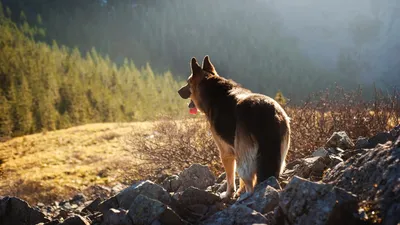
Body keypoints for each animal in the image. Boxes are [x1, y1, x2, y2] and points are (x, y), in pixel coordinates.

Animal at [178, 55, 290, 199]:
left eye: (188, 82)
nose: (178, 91)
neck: (214, 90)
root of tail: (267, 112)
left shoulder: (226, 152)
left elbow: (230, 178)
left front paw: (228, 194)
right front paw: (239, 191)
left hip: (244, 159)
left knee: (250, 182)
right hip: (279, 157)